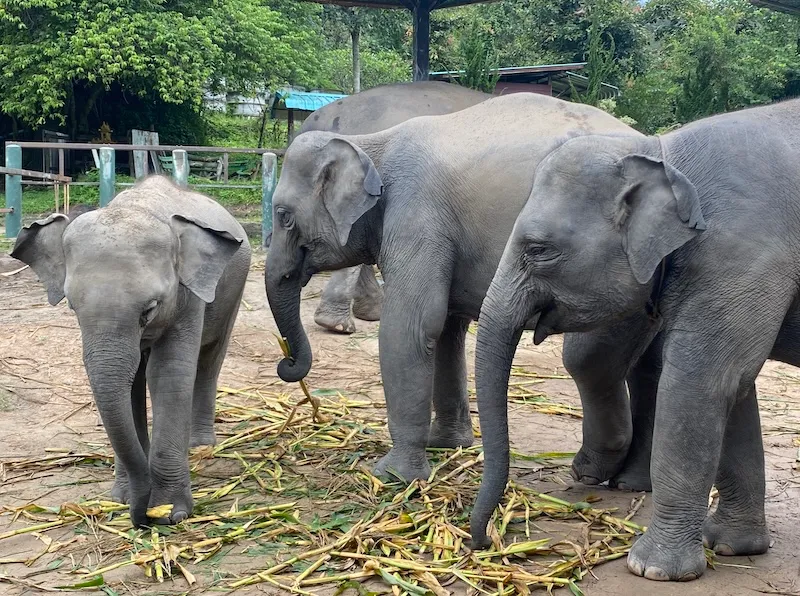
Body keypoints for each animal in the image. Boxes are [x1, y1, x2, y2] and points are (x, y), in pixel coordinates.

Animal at [11, 176, 251, 527]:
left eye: (150, 309)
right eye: (72, 306)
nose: (141, 518)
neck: (139, 206)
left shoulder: (187, 296)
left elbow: (168, 373)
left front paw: (171, 513)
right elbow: (133, 382)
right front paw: (123, 498)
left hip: (234, 286)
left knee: (209, 360)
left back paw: (200, 447)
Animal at [470, 98, 800, 581]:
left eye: (539, 249)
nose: (481, 541)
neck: (662, 154)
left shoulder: (744, 253)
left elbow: (701, 383)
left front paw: (654, 569)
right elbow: (736, 389)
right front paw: (730, 546)